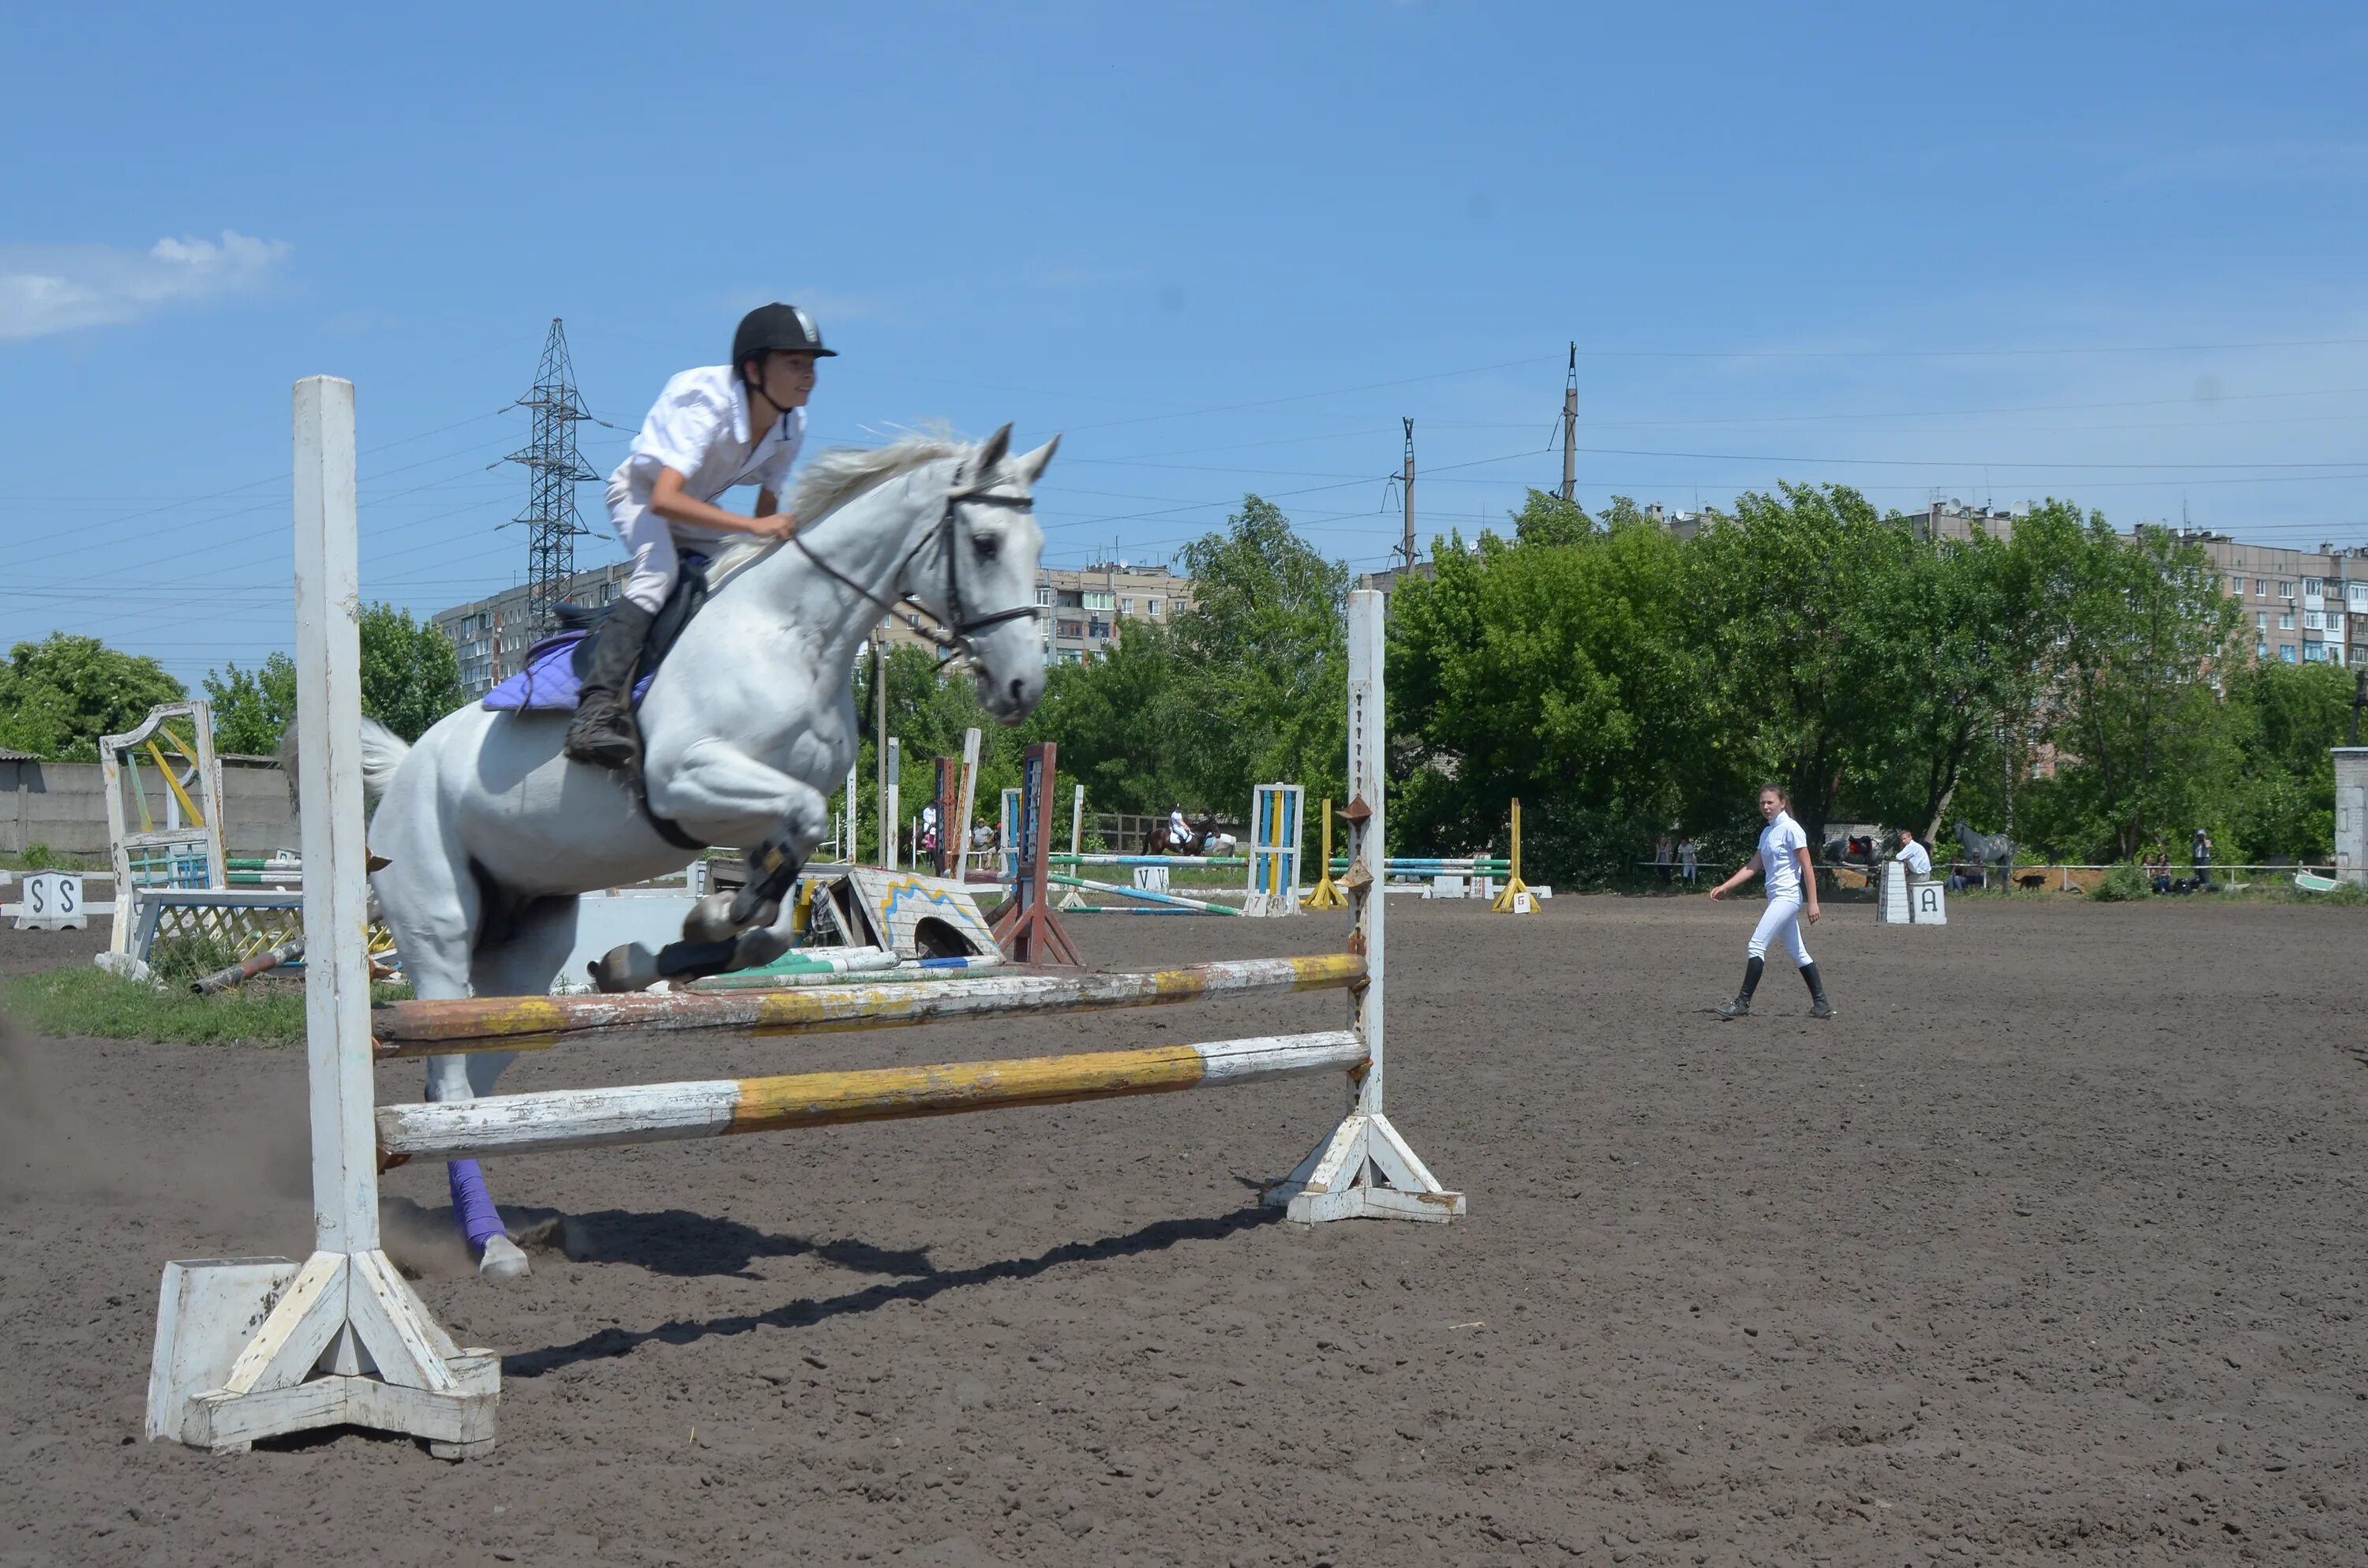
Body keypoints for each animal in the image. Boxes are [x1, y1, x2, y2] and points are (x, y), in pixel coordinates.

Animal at [358, 426, 1056, 1278]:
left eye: (1038, 548)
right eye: (985, 543)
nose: (1022, 686)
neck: (796, 633)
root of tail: (405, 767)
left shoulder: (763, 816)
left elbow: (778, 913)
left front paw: (658, 952)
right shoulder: (692, 778)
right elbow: (793, 839)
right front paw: (707, 923)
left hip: (526, 950)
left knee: (464, 1082)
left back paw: (481, 1222)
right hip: (439, 924)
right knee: (452, 1081)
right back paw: (492, 1246)